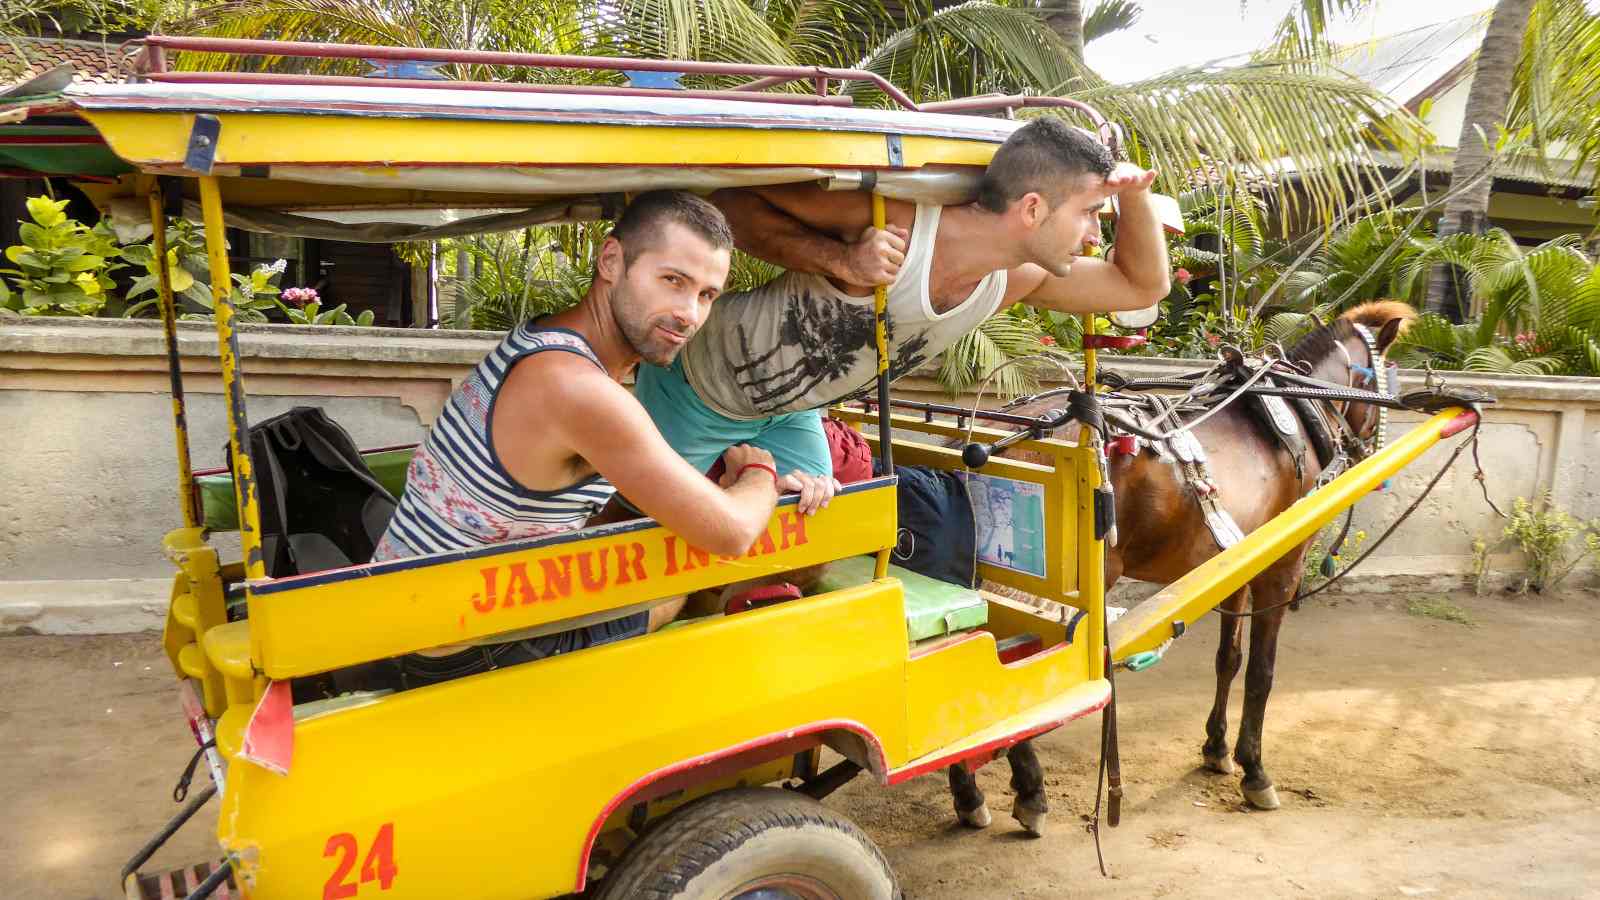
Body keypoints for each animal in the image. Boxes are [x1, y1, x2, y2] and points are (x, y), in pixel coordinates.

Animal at [940, 301, 1420, 832]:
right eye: (1386, 378)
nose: (1368, 449)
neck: (1297, 406)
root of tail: (985, 436)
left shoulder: (1235, 561)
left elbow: (1229, 659)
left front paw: (1216, 747)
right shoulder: (1281, 564)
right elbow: (1262, 671)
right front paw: (1255, 770)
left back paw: (968, 792)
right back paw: (1029, 788)